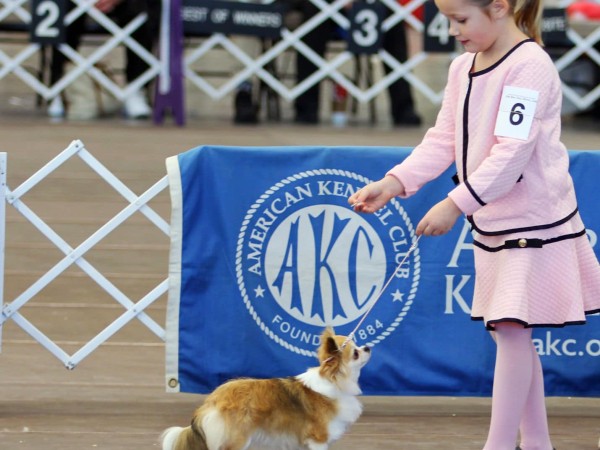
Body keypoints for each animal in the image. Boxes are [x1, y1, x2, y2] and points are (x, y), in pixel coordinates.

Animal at [159, 326, 370, 450]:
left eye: (359, 346)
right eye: (355, 353)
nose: (367, 347)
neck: (334, 381)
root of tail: (212, 402)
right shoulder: (318, 439)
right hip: (237, 439)